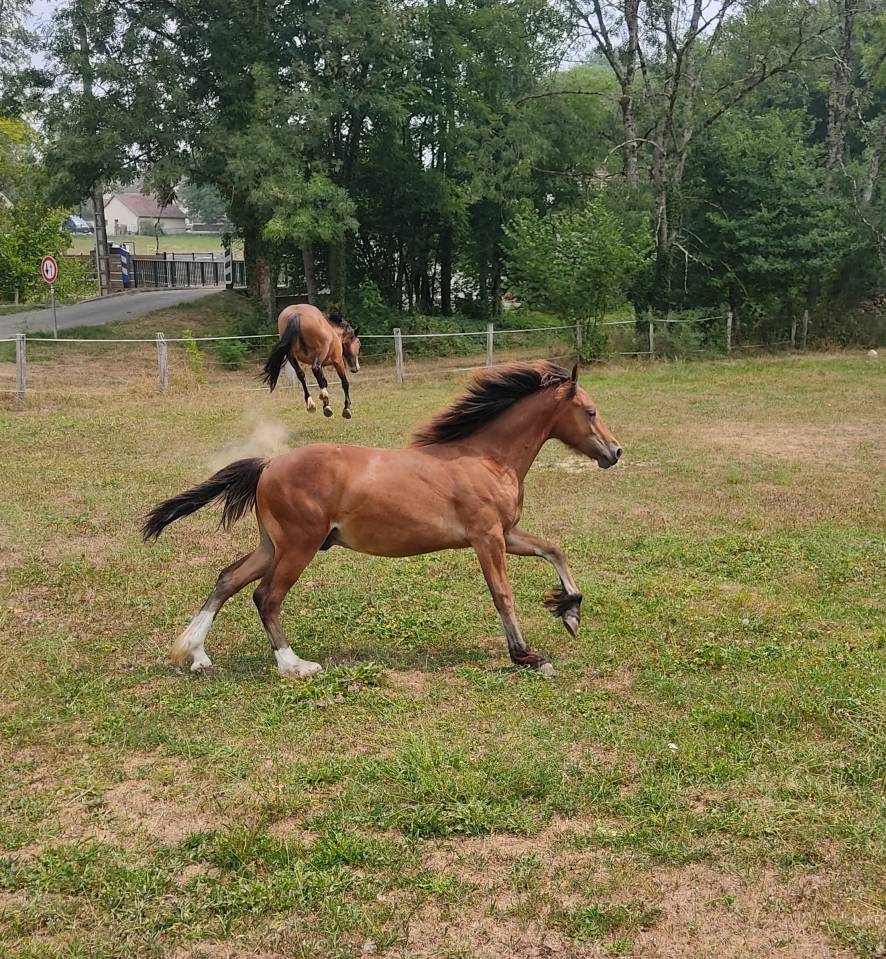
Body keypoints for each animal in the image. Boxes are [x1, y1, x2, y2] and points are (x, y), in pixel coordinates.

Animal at [142, 360, 622, 678]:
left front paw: (570, 612)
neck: (487, 458)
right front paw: (527, 655)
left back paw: (196, 655)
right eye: (592, 411)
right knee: (266, 596)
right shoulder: (488, 538)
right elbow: (502, 594)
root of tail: (269, 464)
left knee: (227, 578)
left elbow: (554, 550)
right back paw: (295, 664)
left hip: (272, 545)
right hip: (298, 547)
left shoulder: (508, 533)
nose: (615, 452)